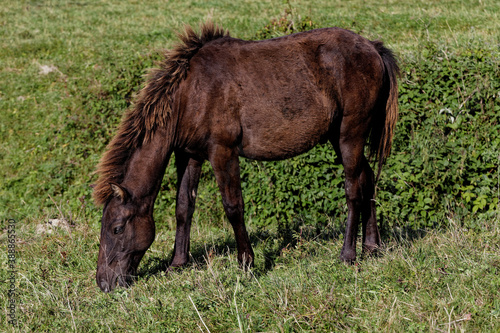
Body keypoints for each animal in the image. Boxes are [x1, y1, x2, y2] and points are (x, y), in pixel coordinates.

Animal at [93, 22, 398, 290]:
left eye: (117, 228)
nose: (105, 283)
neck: (190, 93)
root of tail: (372, 48)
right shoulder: (189, 155)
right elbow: (183, 207)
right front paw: (177, 263)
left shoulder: (222, 152)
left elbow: (233, 207)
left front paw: (246, 263)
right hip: (339, 137)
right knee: (367, 178)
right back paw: (372, 246)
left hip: (350, 135)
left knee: (353, 190)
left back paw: (348, 254)